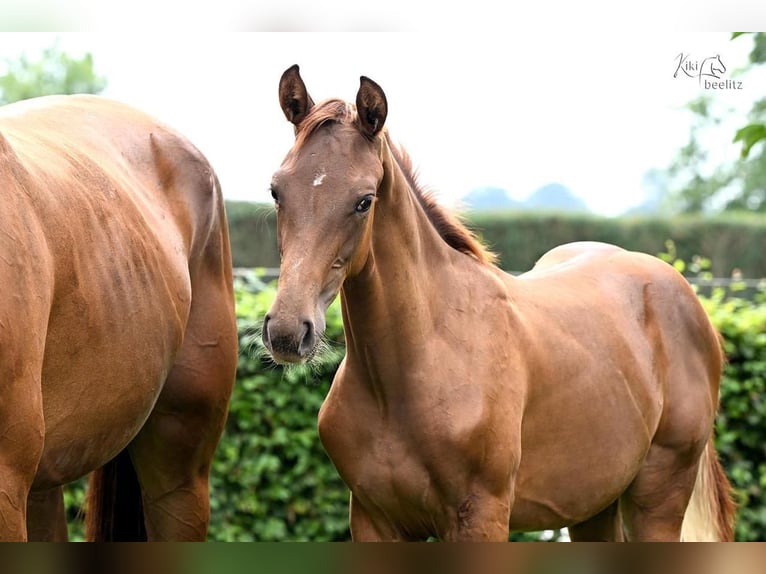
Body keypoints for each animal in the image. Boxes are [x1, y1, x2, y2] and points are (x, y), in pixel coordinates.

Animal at [261, 65, 736, 541]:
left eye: (364, 201)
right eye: (276, 190)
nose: (287, 331)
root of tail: (686, 298)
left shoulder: (481, 517)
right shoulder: (374, 520)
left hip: (658, 496)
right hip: (593, 504)